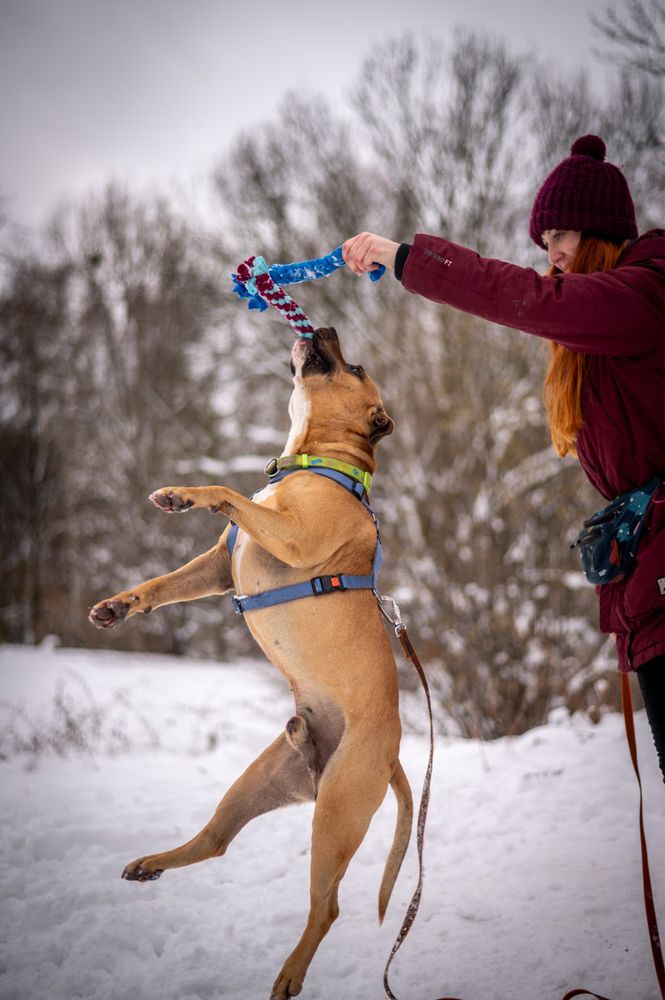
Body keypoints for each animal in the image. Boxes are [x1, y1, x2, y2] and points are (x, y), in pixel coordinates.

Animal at [88, 328, 410, 1000]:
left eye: (355, 366)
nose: (327, 328)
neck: (316, 465)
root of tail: (393, 755)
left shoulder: (292, 538)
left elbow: (230, 495)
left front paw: (186, 494)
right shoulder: (218, 564)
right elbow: (167, 583)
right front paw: (120, 605)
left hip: (337, 812)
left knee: (326, 907)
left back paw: (289, 974)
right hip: (261, 779)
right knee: (214, 842)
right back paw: (153, 863)